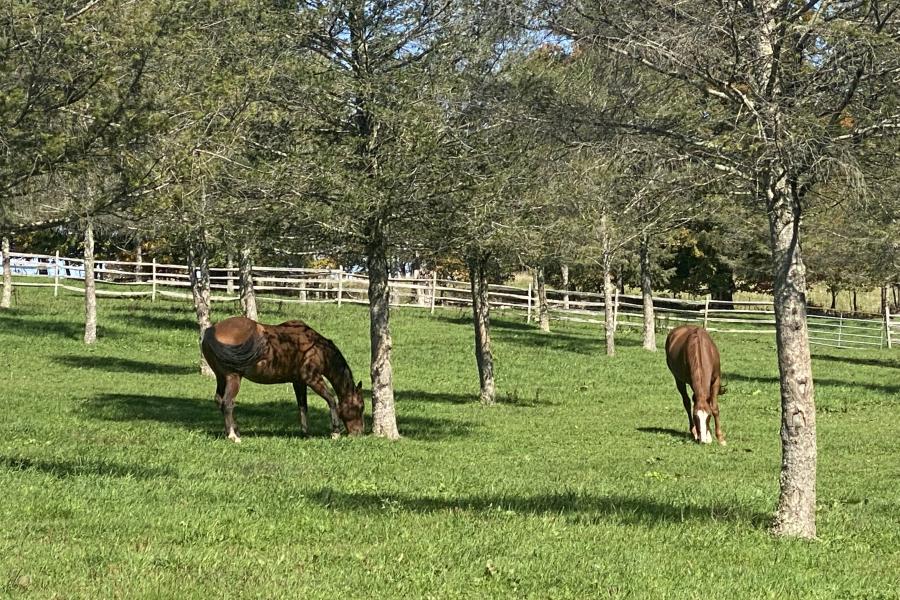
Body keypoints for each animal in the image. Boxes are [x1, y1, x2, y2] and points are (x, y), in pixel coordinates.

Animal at [200, 316, 362, 442]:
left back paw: (236, 431)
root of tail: (210, 331)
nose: (359, 432)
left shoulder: (299, 382)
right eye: (360, 407)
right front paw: (335, 432)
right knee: (227, 403)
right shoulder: (313, 379)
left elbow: (303, 407)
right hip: (233, 377)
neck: (316, 348)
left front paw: (305, 433)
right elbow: (331, 400)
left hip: (221, 377)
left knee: (220, 400)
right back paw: (233, 436)